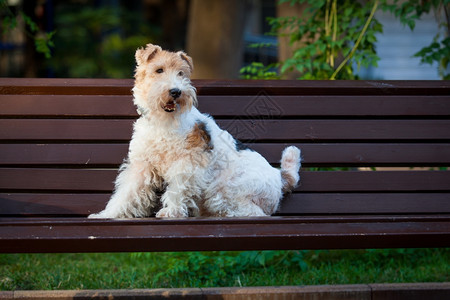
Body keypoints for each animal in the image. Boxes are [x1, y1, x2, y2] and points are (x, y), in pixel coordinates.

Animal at [88, 43, 300, 218]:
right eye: (159, 70)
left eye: (181, 73)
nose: (176, 91)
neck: (163, 123)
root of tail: (280, 177)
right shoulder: (142, 165)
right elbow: (126, 193)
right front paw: (106, 215)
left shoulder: (187, 162)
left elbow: (177, 190)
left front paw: (171, 212)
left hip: (226, 190)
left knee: (253, 212)